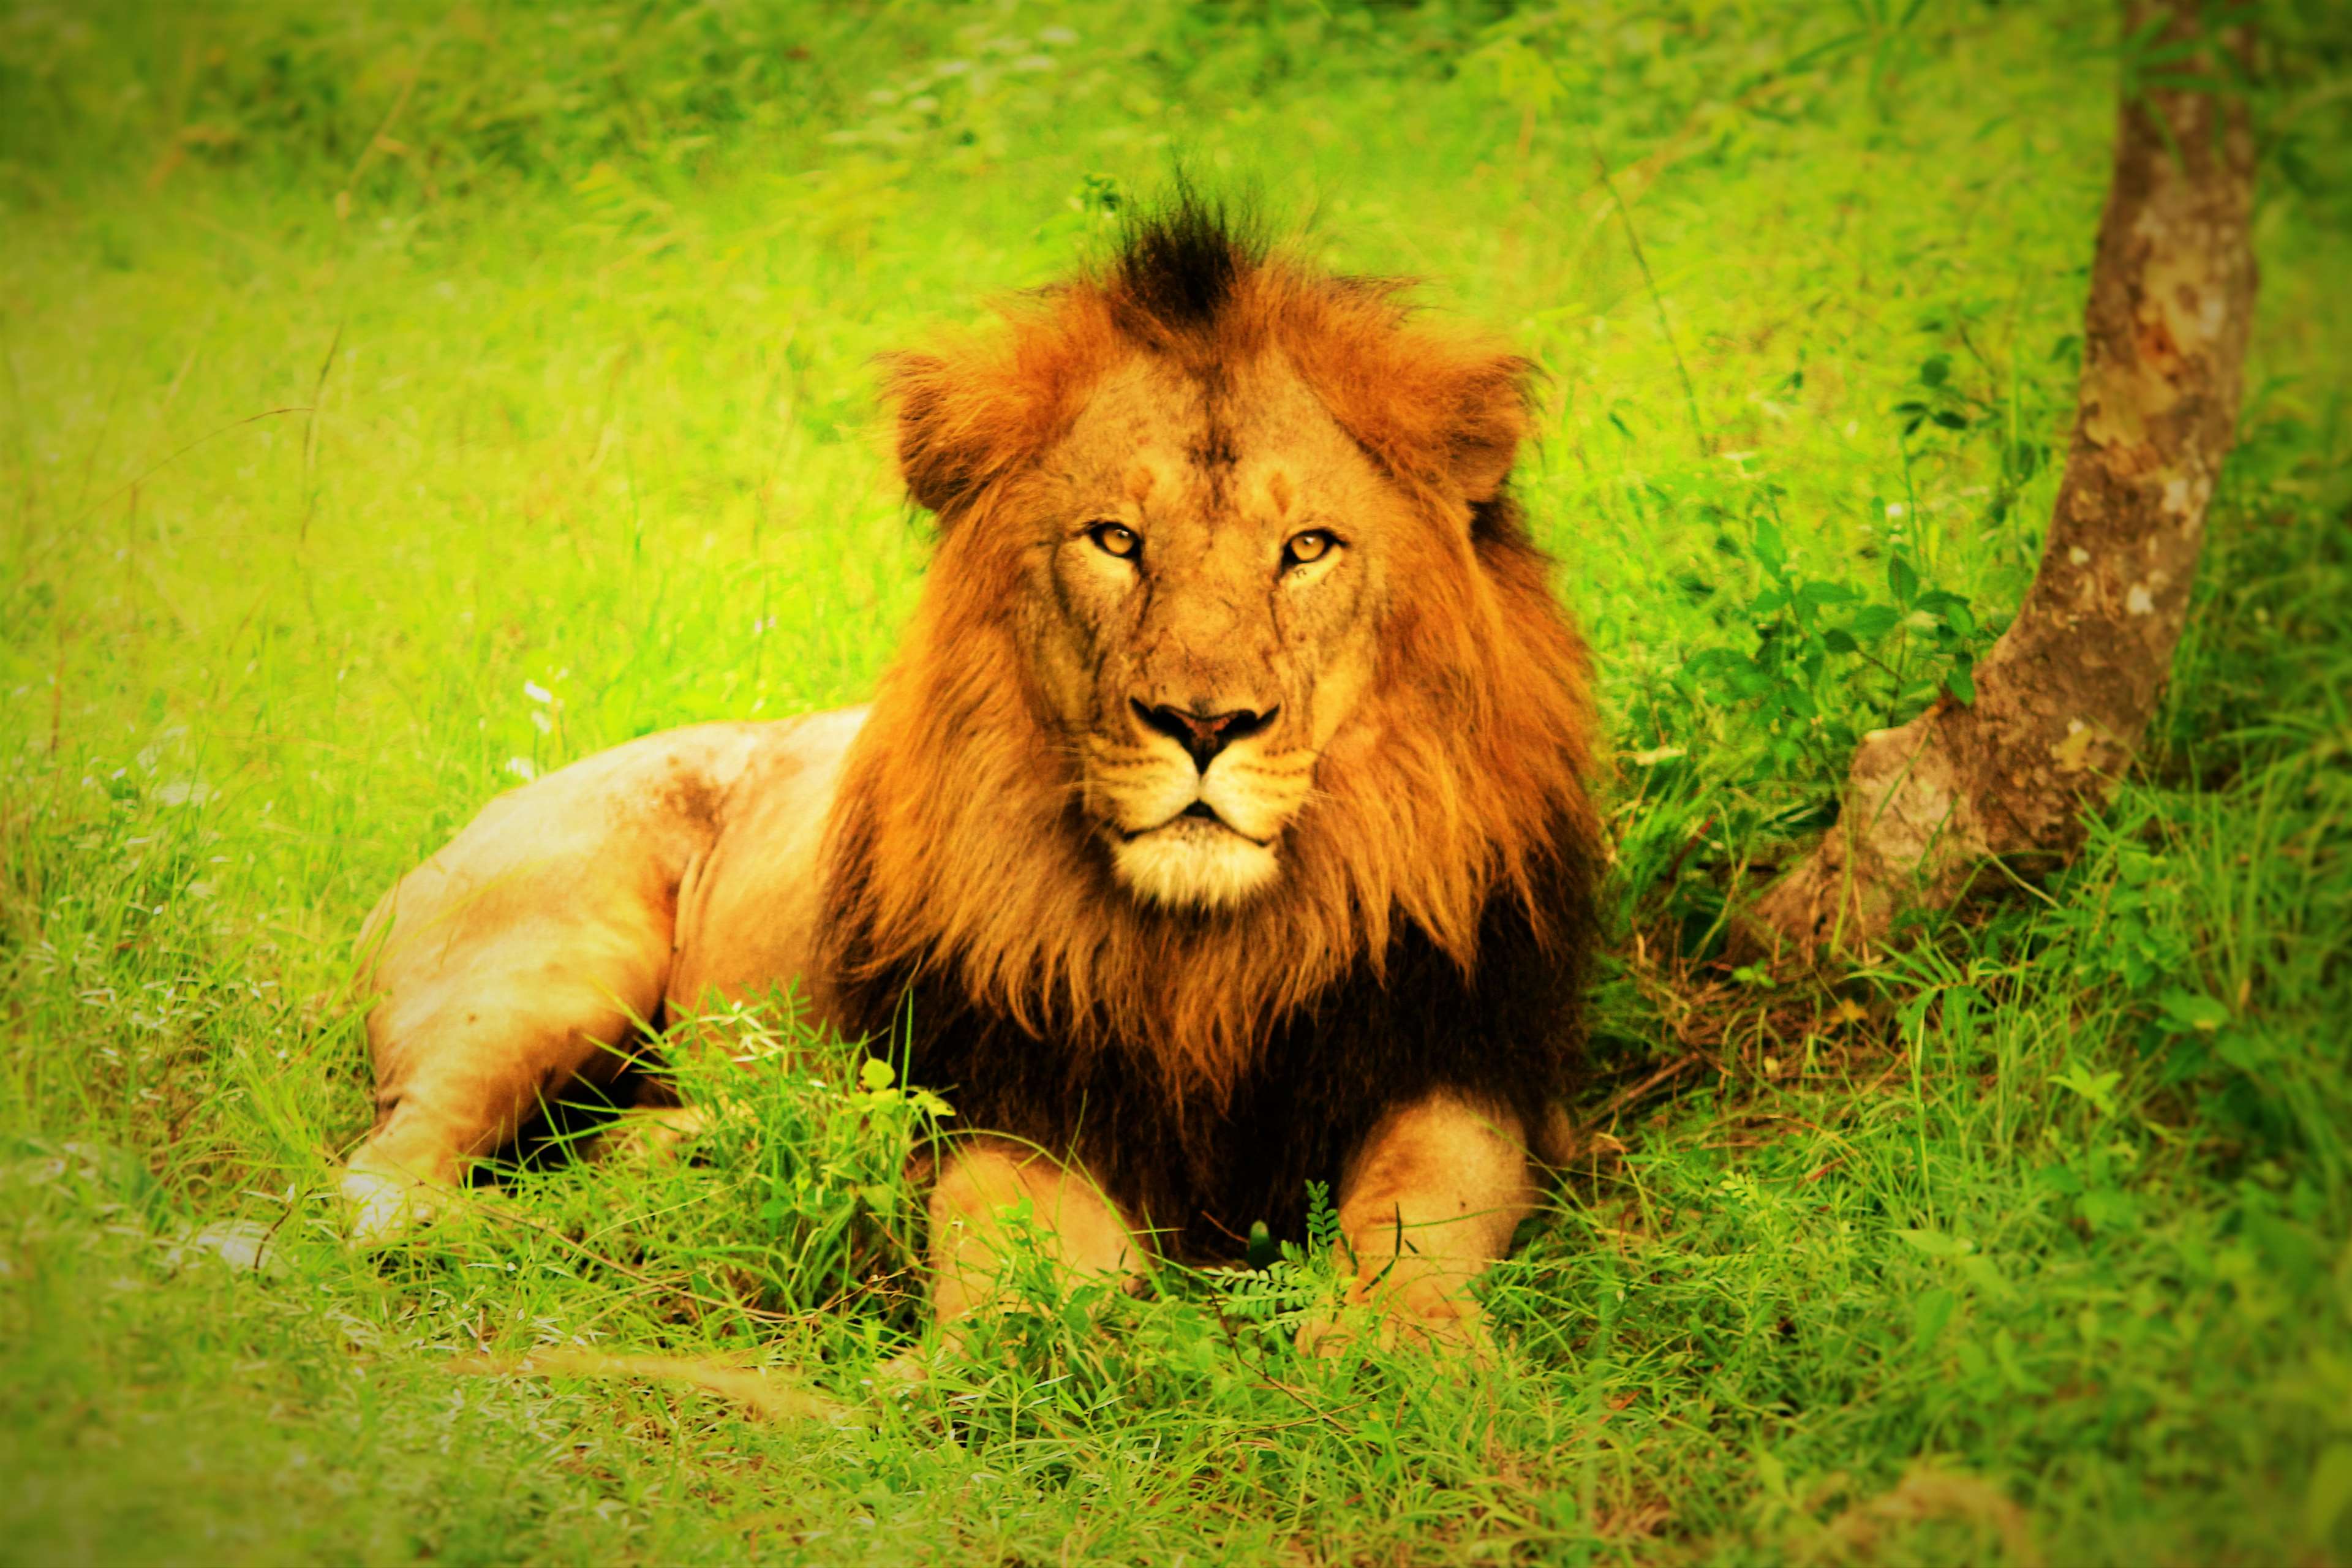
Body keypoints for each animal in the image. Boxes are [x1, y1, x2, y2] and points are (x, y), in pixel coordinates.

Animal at [343, 202, 1599, 1354]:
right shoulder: (1016, 1095)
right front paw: (990, 1363)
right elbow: (1014, 1279)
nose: (1204, 724)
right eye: (1115, 540)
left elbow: (1416, 1226)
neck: (1212, 962)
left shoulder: (1461, 1066)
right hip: (549, 968)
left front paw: (1399, 1356)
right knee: (383, 1180)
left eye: (1307, 549)